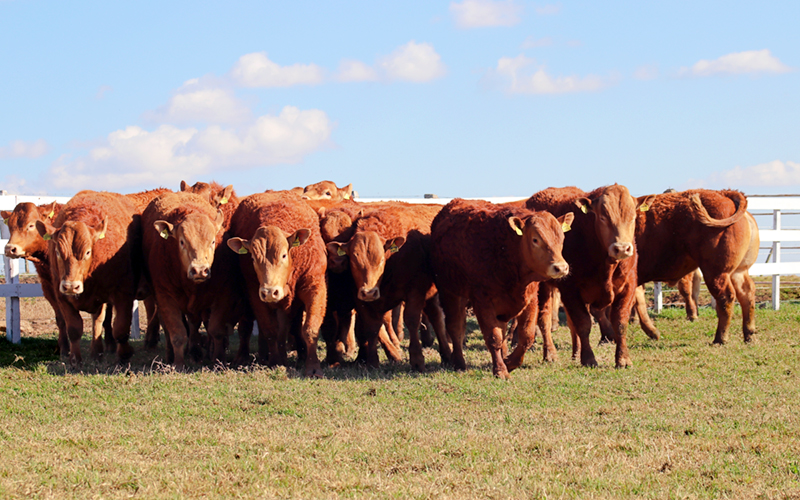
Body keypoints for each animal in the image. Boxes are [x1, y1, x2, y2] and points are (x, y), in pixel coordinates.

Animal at [35, 191, 141, 364]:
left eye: (87, 252)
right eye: (57, 252)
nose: (71, 286)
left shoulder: (123, 293)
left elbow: (120, 328)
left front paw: (124, 356)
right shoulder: (62, 297)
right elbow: (74, 329)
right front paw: (74, 359)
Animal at [227, 193, 326, 376]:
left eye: (284, 255)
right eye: (252, 258)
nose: (269, 291)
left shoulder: (315, 287)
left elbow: (310, 329)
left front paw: (313, 367)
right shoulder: (255, 293)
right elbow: (270, 330)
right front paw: (274, 362)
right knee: (248, 328)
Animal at [432, 199, 568, 378]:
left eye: (562, 238)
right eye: (535, 239)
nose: (561, 267)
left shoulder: (530, 299)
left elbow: (527, 336)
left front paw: (509, 362)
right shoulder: (483, 302)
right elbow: (493, 337)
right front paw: (501, 370)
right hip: (450, 292)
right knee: (455, 328)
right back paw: (460, 363)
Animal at [524, 184, 644, 368]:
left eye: (633, 217)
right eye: (603, 217)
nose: (622, 248)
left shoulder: (628, 285)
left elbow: (620, 323)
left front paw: (623, 359)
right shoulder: (571, 290)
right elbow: (583, 324)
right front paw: (588, 358)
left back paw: (575, 352)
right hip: (544, 288)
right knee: (544, 319)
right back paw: (550, 354)